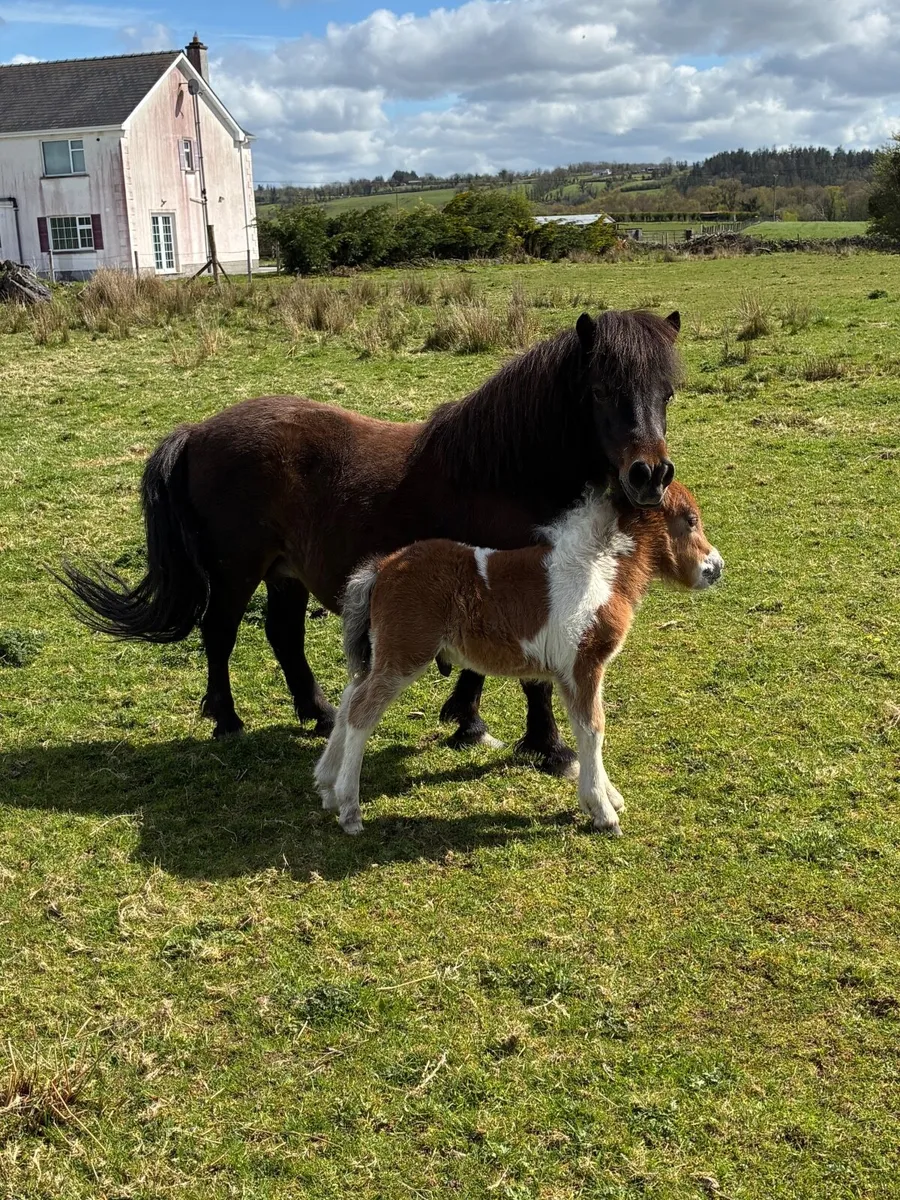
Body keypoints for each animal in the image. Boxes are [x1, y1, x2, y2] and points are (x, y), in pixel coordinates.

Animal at [58, 308, 682, 776]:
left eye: (668, 393)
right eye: (600, 390)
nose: (649, 476)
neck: (505, 472)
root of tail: (197, 432)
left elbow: (479, 662)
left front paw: (468, 721)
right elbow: (531, 676)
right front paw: (549, 749)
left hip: (285, 572)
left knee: (284, 637)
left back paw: (320, 714)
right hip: (237, 571)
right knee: (219, 634)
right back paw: (228, 721)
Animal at [315, 480, 723, 836]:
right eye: (689, 519)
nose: (716, 568)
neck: (599, 570)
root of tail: (383, 567)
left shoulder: (575, 673)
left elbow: (587, 726)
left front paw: (608, 797)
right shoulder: (583, 666)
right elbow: (593, 729)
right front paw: (603, 812)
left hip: (383, 654)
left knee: (350, 696)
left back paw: (326, 786)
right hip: (404, 655)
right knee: (361, 711)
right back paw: (349, 809)